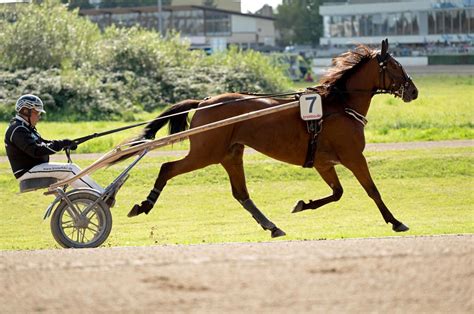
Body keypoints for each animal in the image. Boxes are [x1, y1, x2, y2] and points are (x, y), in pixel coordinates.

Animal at [125, 38, 414, 238]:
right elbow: (371, 190)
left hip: (230, 154)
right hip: (205, 153)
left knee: (241, 194)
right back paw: (145, 204)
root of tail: (205, 101)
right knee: (167, 167)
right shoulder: (353, 156)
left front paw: (303, 204)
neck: (339, 105)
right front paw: (396, 221)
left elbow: (338, 193)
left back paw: (272, 226)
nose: (414, 90)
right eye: (396, 65)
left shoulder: (323, 163)